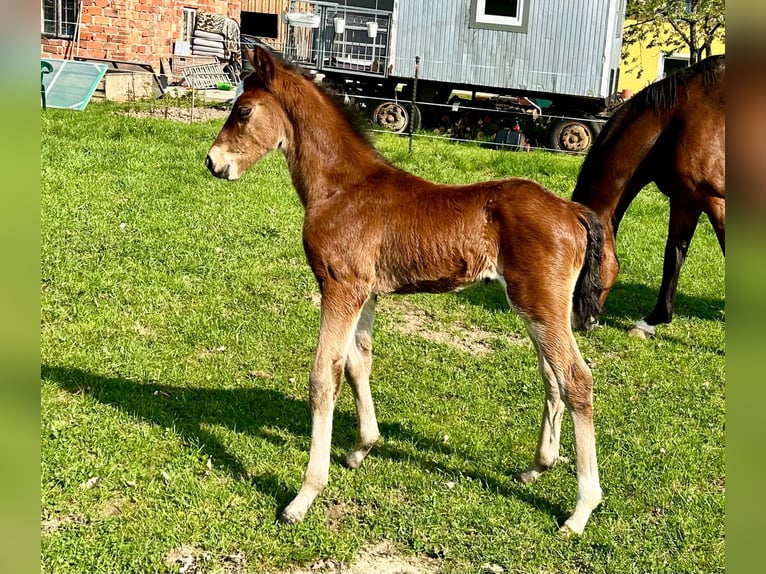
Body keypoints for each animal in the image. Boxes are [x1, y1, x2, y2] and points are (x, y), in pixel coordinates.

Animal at [206, 48, 608, 536]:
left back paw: (581, 509)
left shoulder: (339, 287)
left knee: (576, 379)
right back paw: (536, 468)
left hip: (539, 304)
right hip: (538, 307)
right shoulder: (365, 293)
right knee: (552, 376)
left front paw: (303, 497)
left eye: (244, 110)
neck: (342, 187)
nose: (212, 162)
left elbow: (324, 376)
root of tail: (571, 210)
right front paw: (362, 448)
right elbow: (358, 363)